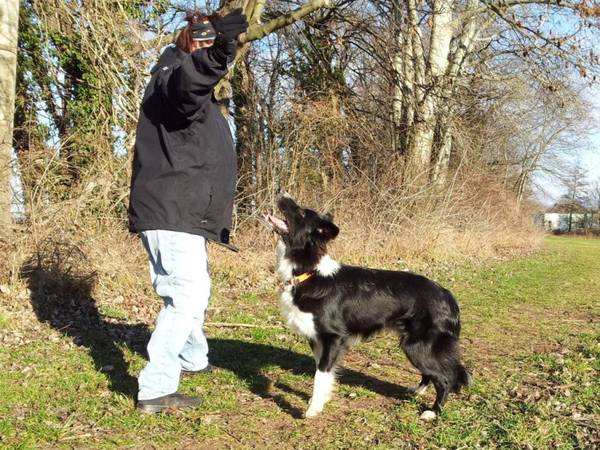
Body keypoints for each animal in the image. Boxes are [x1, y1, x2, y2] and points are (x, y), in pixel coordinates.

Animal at [264, 194, 471, 420]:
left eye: (301, 212)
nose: (282, 194)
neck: (308, 272)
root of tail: (447, 295)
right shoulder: (317, 339)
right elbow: (323, 373)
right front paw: (319, 402)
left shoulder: (334, 337)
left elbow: (320, 375)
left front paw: (313, 409)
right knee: (432, 374)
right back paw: (416, 392)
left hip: (418, 346)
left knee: (445, 379)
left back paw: (433, 412)